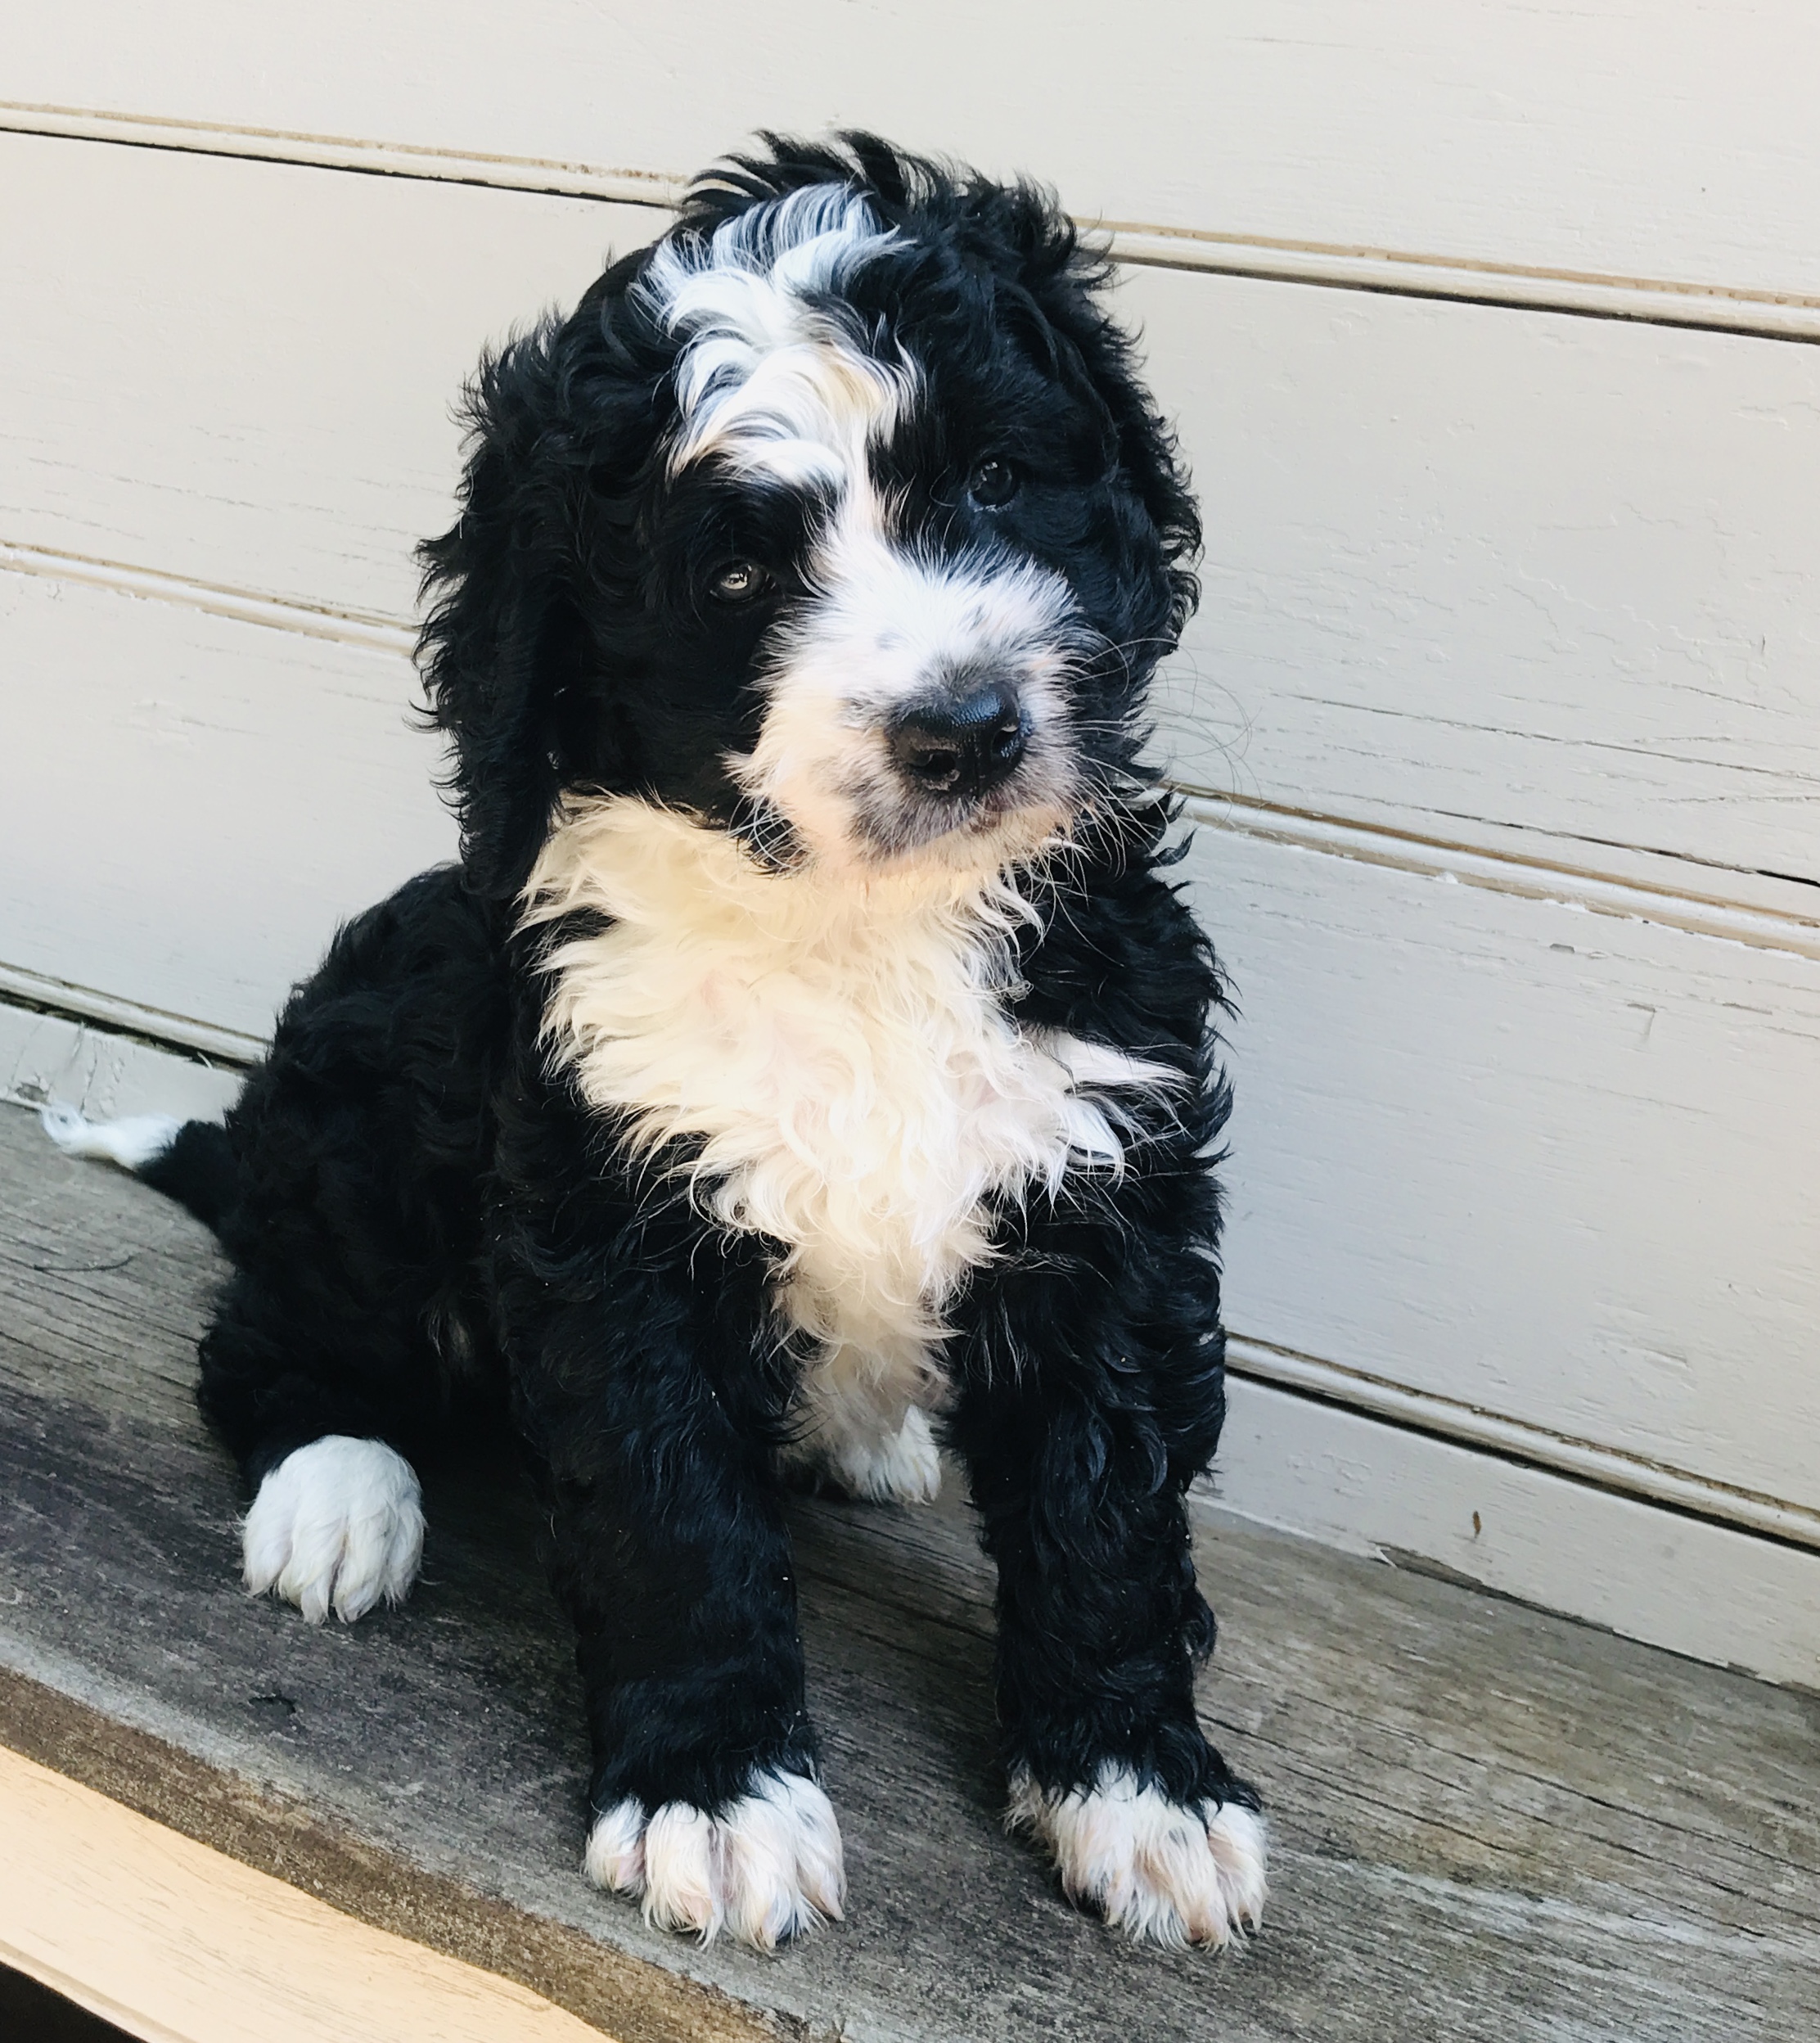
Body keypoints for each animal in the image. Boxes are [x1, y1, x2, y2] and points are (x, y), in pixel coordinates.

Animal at [46, 135, 1266, 1953]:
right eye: (738, 577)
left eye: (991, 482)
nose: (964, 733)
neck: (855, 926)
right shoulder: (607, 1216)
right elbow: (666, 1513)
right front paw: (717, 1791)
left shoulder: (1099, 1175)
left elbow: (1101, 1502)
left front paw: (1137, 1784)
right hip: (360, 1136)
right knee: (267, 1349)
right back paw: (337, 1493)